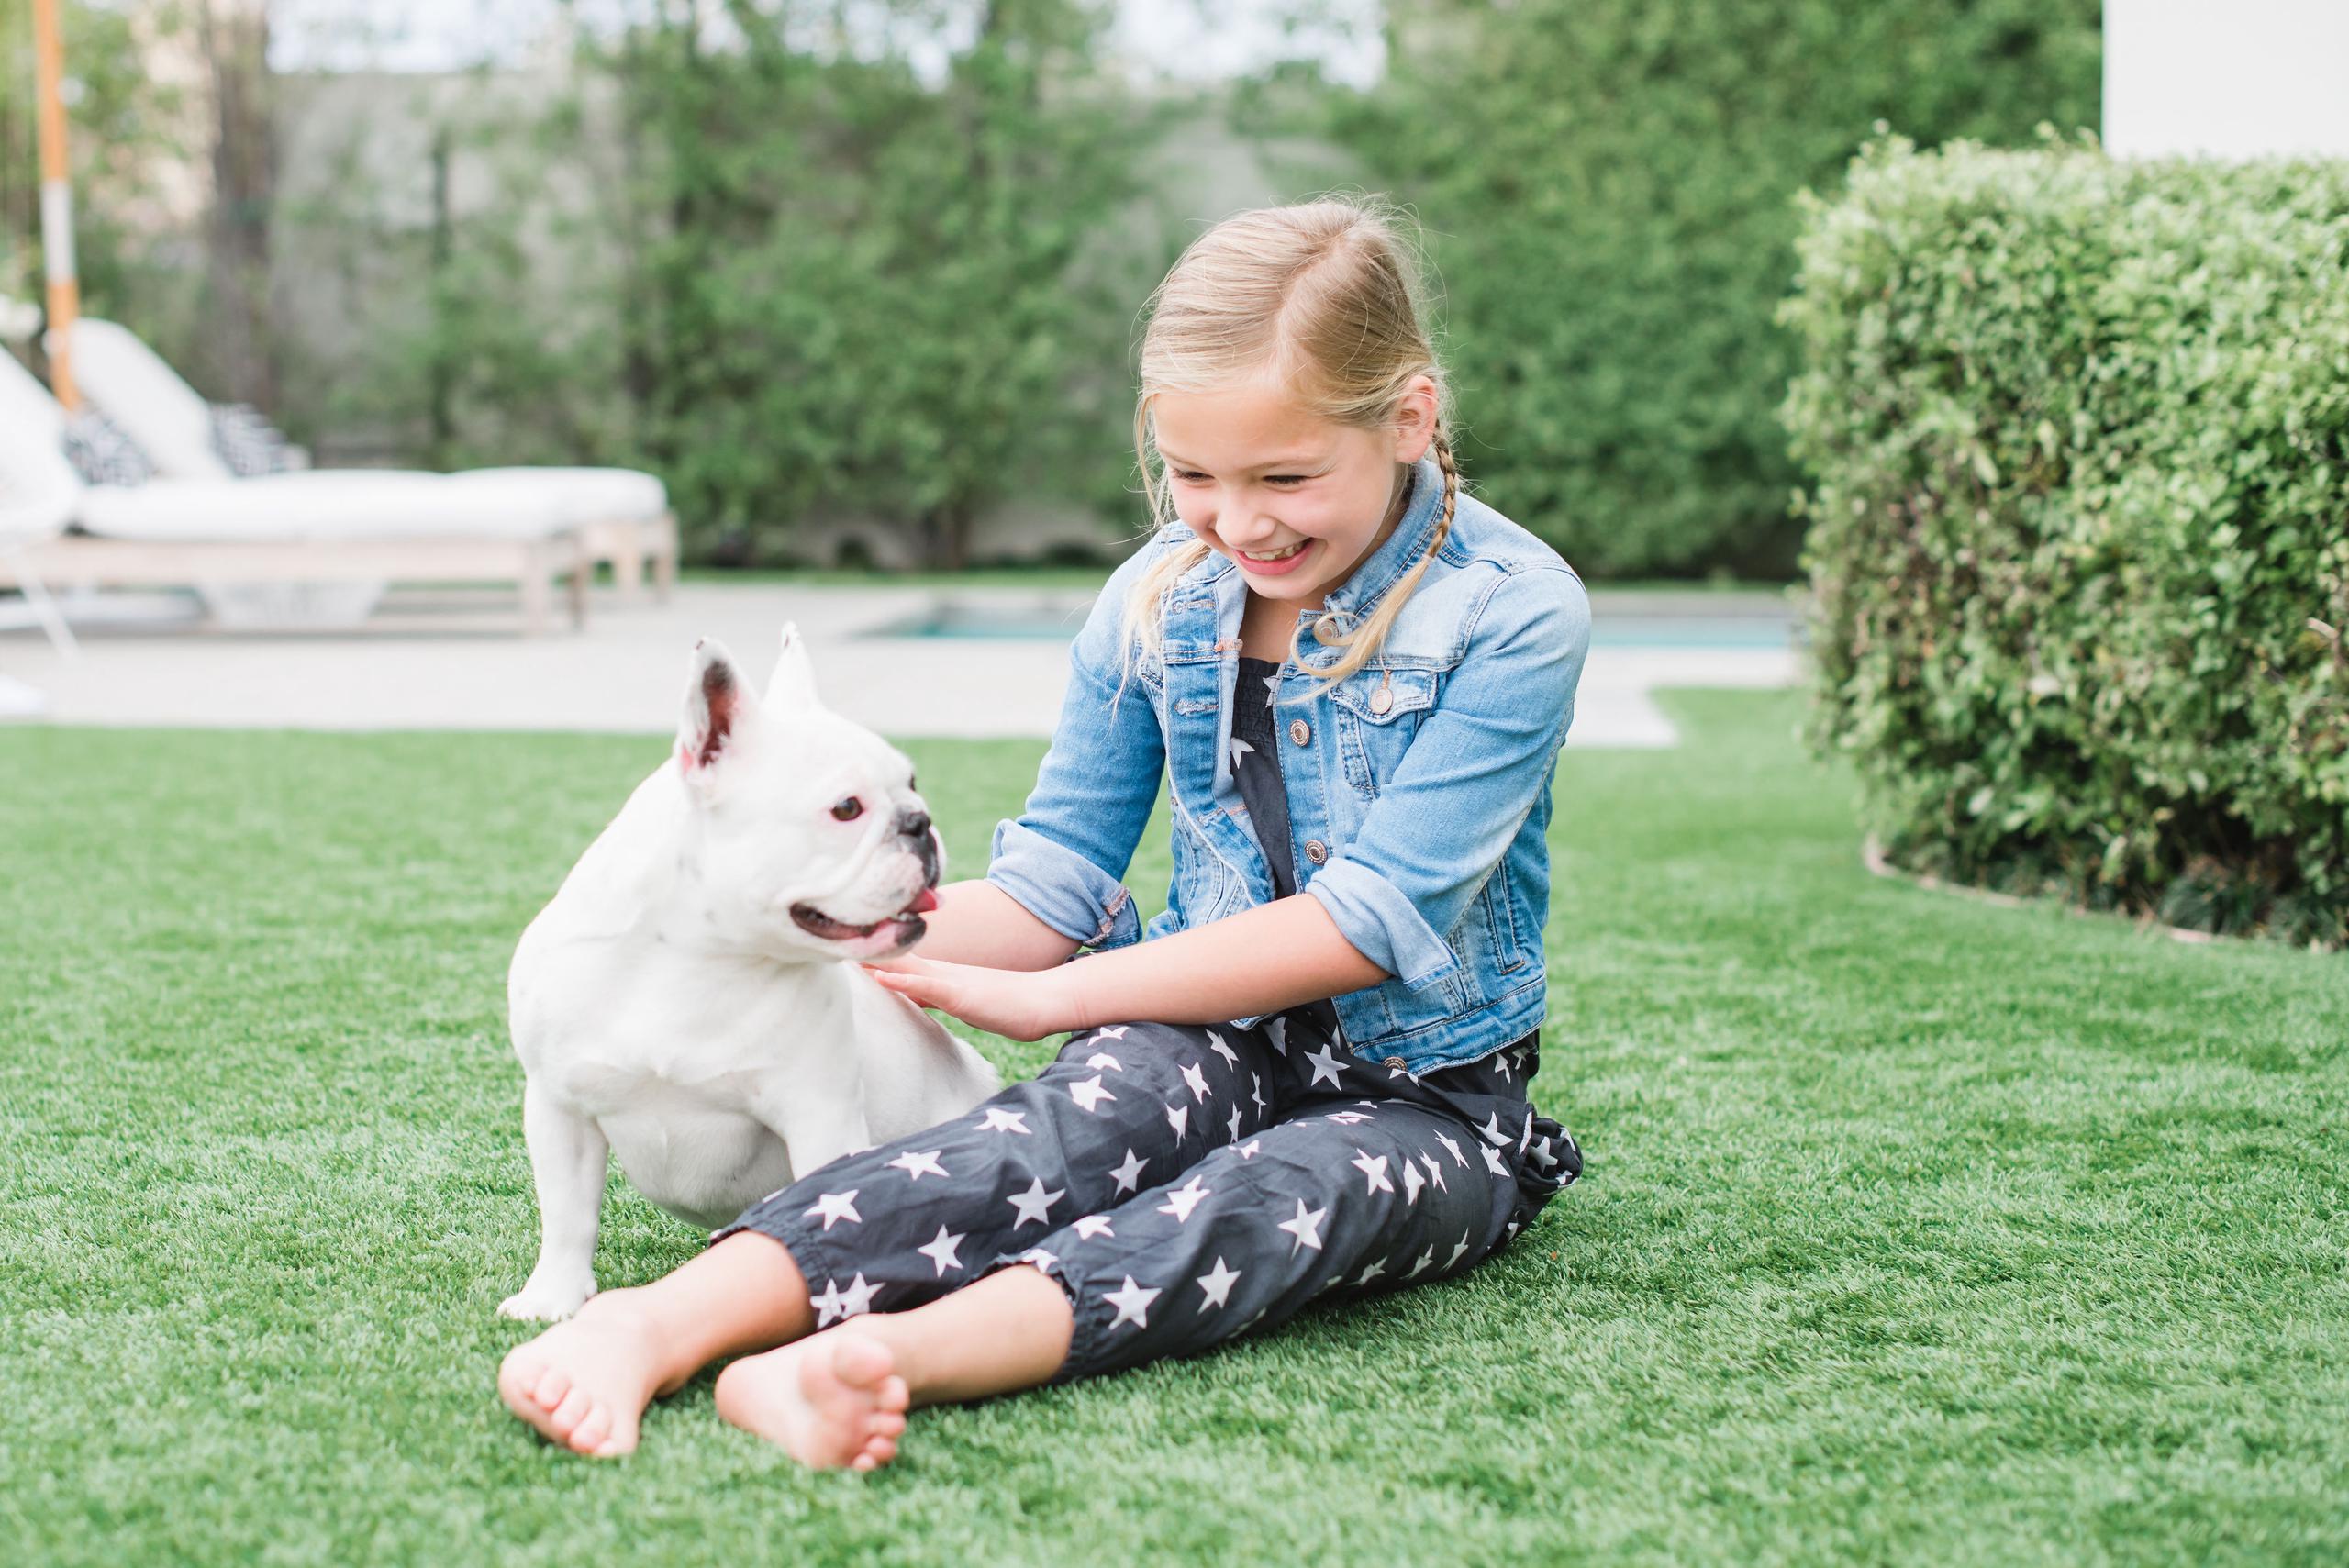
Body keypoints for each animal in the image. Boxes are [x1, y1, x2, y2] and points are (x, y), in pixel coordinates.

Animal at [497, 626, 1002, 1321]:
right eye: (847, 808)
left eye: (912, 781)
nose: (920, 822)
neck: (696, 957)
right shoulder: (557, 1106)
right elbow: (567, 1213)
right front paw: (552, 1297)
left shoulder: (819, 1116)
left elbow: (829, 1207)